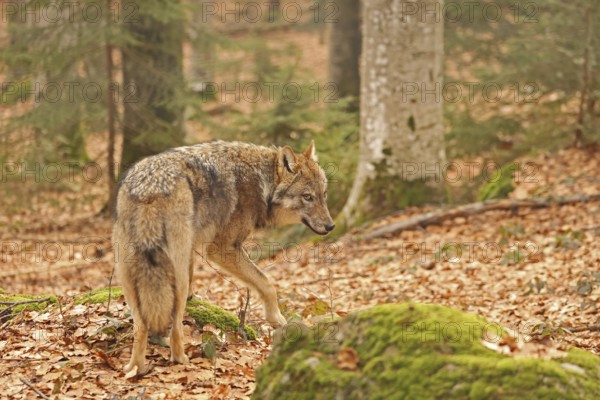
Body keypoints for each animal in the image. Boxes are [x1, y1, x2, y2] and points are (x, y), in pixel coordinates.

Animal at [111, 139, 332, 374]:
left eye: (324, 194)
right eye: (307, 197)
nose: (331, 226)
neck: (261, 181)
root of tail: (149, 189)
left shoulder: (194, 245)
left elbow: (195, 275)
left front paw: (193, 297)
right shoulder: (223, 248)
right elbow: (267, 284)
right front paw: (278, 320)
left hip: (129, 276)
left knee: (141, 325)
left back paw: (134, 369)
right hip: (174, 271)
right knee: (175, 327)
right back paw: (183, 361)